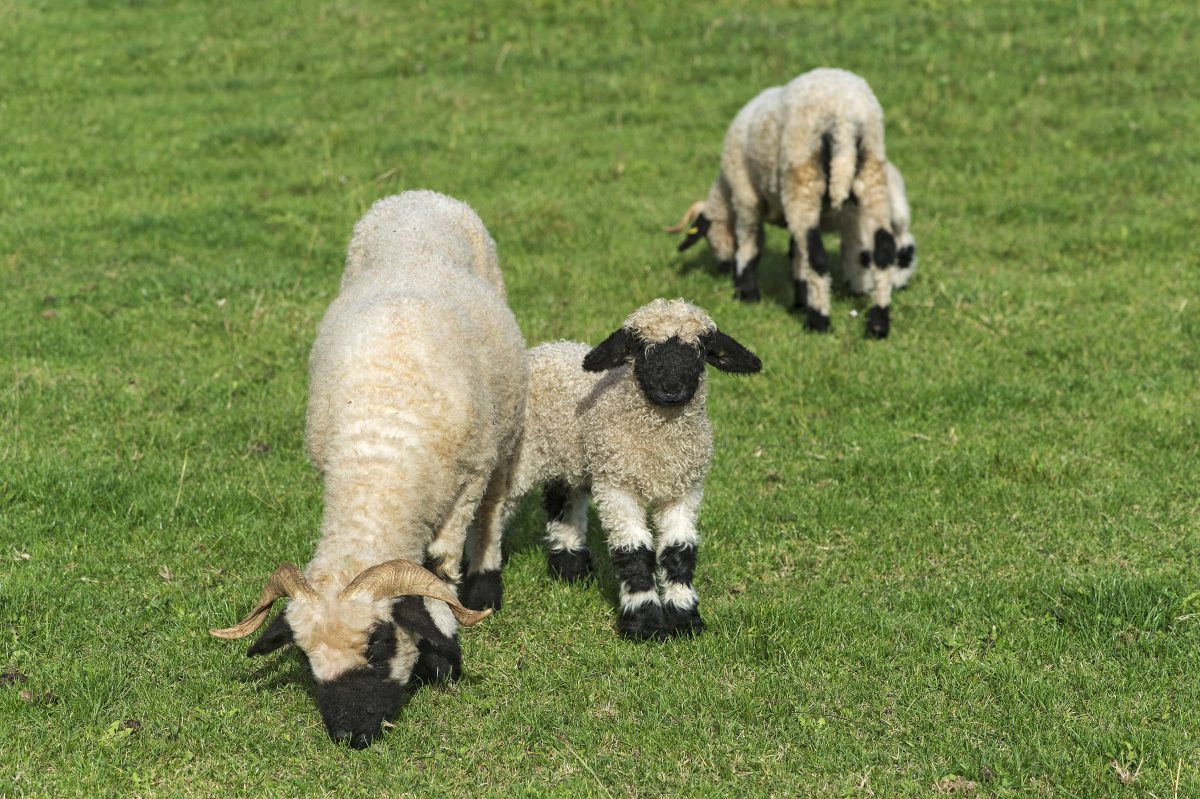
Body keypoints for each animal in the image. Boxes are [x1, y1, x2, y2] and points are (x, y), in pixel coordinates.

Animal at [210, 191, 525, 748]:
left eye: (377, 644)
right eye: (306, 657)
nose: (351, 734)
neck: (378, 466)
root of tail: (419, 194)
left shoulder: (466, 481)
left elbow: (441, 569)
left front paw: (446, 645)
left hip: (503, 430)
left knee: (494, 505)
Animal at [496, 298, 758, 643]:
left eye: (700, 350)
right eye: (642, 348)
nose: (672, 388)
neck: (659, 443)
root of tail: (542, 350)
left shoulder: (683, 489)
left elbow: (679, 551)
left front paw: (685, 619)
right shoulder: (616, 486)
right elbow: (634, 552)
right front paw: (644, 624)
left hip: (568, 459)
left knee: (562, 503)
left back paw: (571, 570)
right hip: (519, 461)